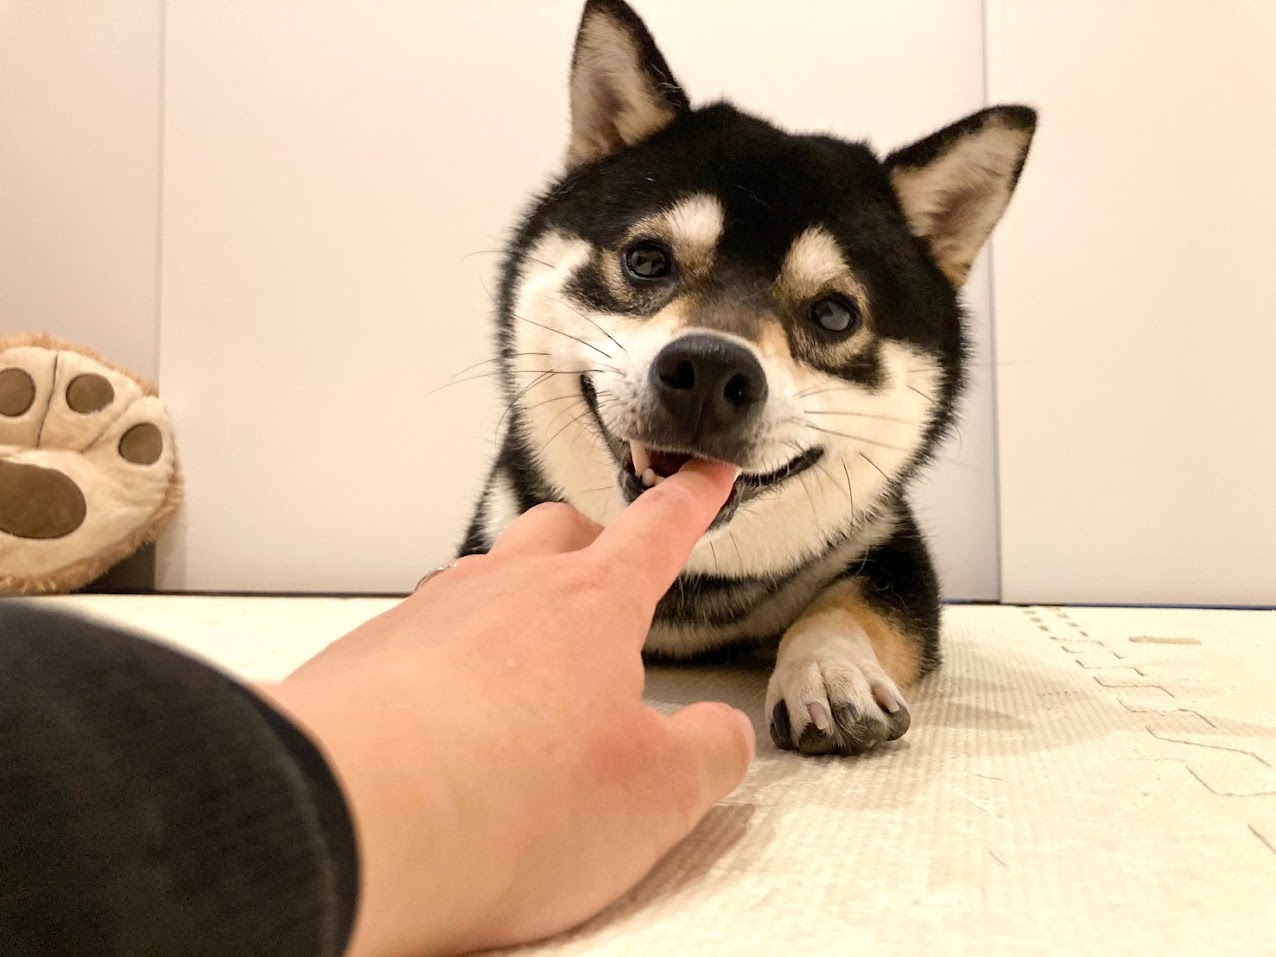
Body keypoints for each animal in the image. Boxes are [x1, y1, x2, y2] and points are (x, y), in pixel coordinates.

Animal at [454, 0, 1031, 755]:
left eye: (834, 314)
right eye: (646, 261)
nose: (708, 370)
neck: (689, 583)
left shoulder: (890, 552)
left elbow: (843, 606)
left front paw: (830, 673)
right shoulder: (498, 532)